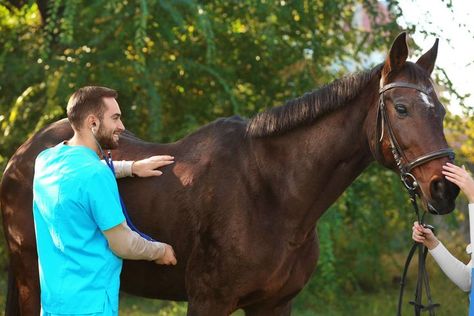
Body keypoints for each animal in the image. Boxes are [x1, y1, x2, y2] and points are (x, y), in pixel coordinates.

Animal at [0, 33, 460, 314]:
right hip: (31, 279)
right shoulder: (208, 301)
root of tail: (23, 155)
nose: (444, 189)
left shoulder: (274, 304)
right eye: (401, 108)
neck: (272, 195)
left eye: (439, 110)